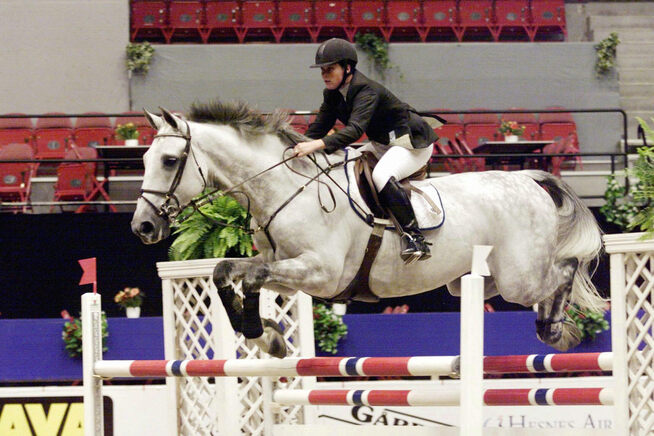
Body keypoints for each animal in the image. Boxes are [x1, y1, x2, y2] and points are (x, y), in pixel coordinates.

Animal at [131, 101, 608, 358]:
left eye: (169, 161)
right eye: (144, 160)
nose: (142, 226)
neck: (284, 189)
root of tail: (528, 176)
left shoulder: (320, 273)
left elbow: (252, 277)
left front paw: (262, 334)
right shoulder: (283, 268)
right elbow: (226, 272)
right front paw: (267, 336)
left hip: (518, 278)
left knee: (562, 271)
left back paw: (555, 328)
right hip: (474, 281)